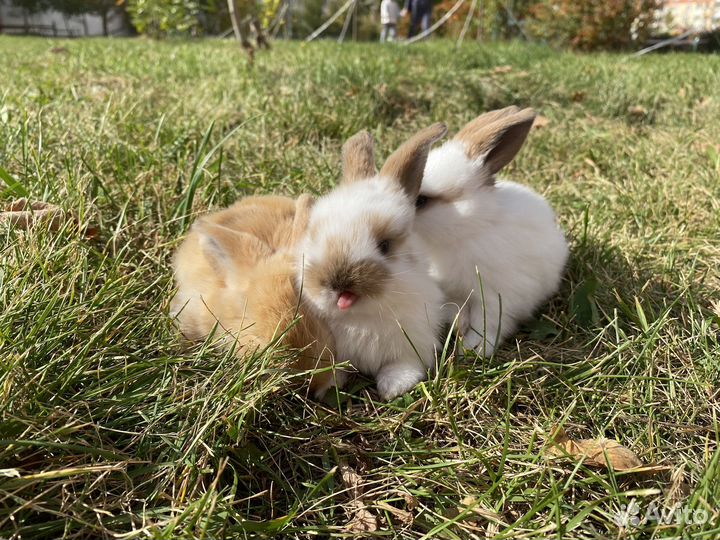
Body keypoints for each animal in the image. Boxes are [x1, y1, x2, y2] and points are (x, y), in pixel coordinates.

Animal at [296, 123, 448, 400]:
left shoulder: (413, 343)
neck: (362, 318)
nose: (337, 282)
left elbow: (401, 366)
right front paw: (330, 385)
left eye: (384, 245)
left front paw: (393, 388)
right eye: (314, 235)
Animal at [415, 106, 569, 356]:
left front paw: (475, 348)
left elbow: (488, 322)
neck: (470, 228)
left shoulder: (496, 296)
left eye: (421, 201)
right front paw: (459, 327)